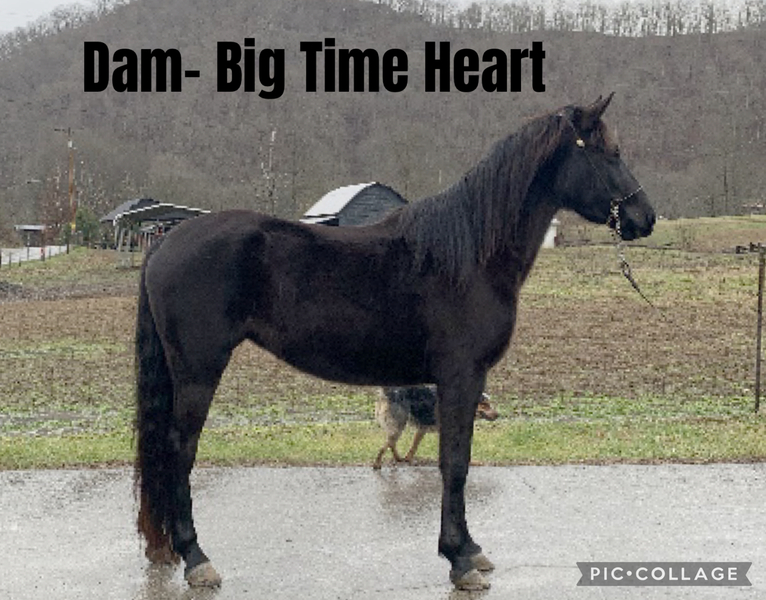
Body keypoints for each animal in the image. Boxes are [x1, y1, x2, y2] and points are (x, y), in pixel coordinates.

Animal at [134, 94, 655, 591]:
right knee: (179, 449)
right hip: (199, 369)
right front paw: (459, 560)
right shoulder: (461, 377)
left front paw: (471, 550)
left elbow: (457, 460)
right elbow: (455, 462)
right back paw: (196, 559)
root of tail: (165, 242)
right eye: (610, 152)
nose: (644, 217)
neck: (471, 255)